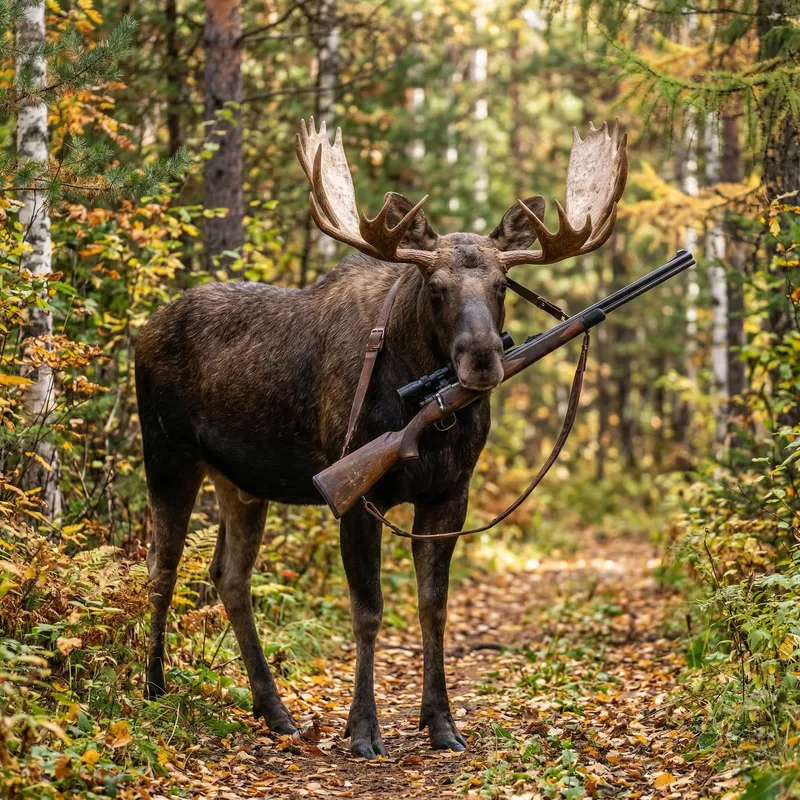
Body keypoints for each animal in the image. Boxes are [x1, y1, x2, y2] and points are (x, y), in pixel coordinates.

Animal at [135, 118, 627, 758]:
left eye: (502, 284)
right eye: (435, 285)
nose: (482, 359)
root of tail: (141, 331)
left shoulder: (450, 494)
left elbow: (433, 606)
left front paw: (441, 723)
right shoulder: (353, 494)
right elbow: (368, 610)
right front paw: (364, 730)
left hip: (240, 481)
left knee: (229, 576)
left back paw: (275, 711)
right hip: (166, 454)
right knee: (160, 569)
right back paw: (154, 688)